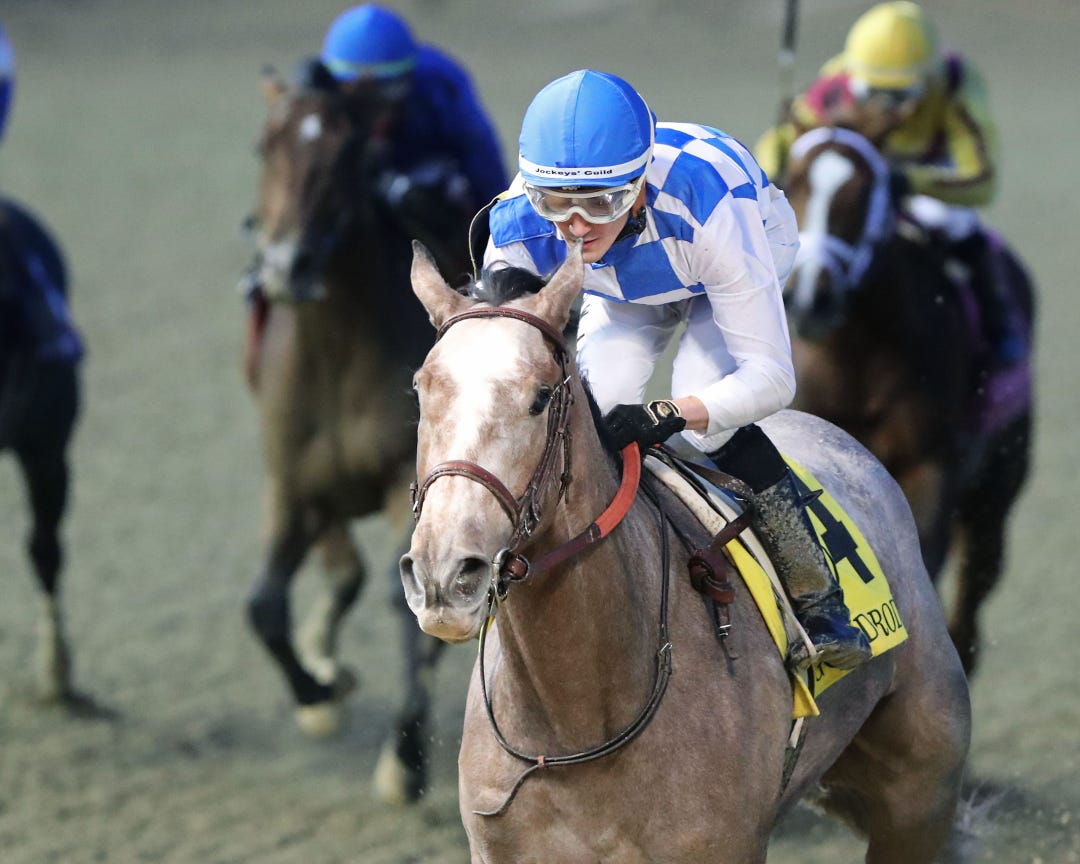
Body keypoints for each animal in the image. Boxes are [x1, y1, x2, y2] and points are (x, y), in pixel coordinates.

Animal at [242, 63, 469, 801]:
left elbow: (409, 607)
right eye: (267, 145)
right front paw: (318, 691)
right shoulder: (291, 484)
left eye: (349, 156)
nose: (289, 264)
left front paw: (405, 758)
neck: (336, 348)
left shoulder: (414, 485)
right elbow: (264, 606)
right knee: (342, 571)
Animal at [781, 127, 1034, 675]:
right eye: (790, 185)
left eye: (864, 195)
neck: (855, 357)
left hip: (995, 491)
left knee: (971, 598)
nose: (810, 297)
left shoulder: (929, 467)